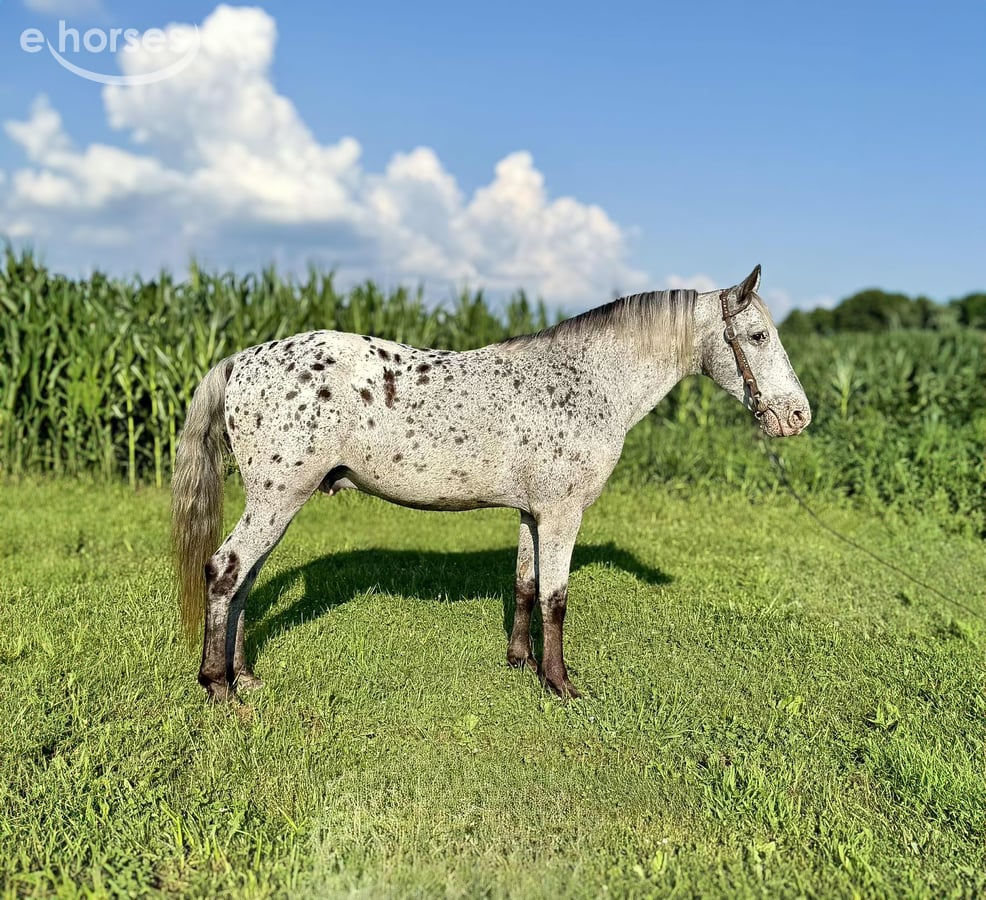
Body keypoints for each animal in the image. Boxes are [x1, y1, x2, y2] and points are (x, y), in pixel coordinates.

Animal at [172, 265, 810, 702]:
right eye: (757, 336)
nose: (798, 416)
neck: (585, 381)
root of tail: (240, 360)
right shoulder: (562, 514)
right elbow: (556, 598)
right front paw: (560, 684)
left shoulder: (532, 513)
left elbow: (525, 586)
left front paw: (520, 663)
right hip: (277, 500)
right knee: (226, 570)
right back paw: (218, 686)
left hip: (276, 503)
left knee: (245, 580)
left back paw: (245, 676)